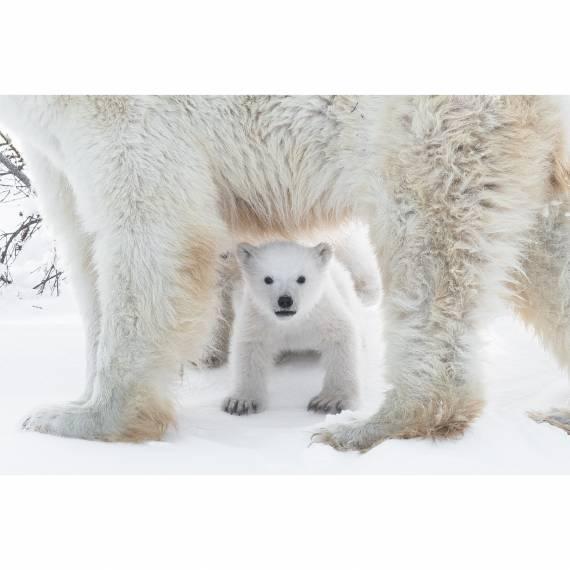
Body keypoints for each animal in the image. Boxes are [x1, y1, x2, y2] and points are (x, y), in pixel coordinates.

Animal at [0, 95, 564, 450]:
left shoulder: (130, 112)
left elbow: (152, 224)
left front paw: (78, 419)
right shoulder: (51, 146)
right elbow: (81, 241)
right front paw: (75, 401)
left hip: (429, 122)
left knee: (426, 241)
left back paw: (369, 425)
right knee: (543, 243)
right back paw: (558, 412)